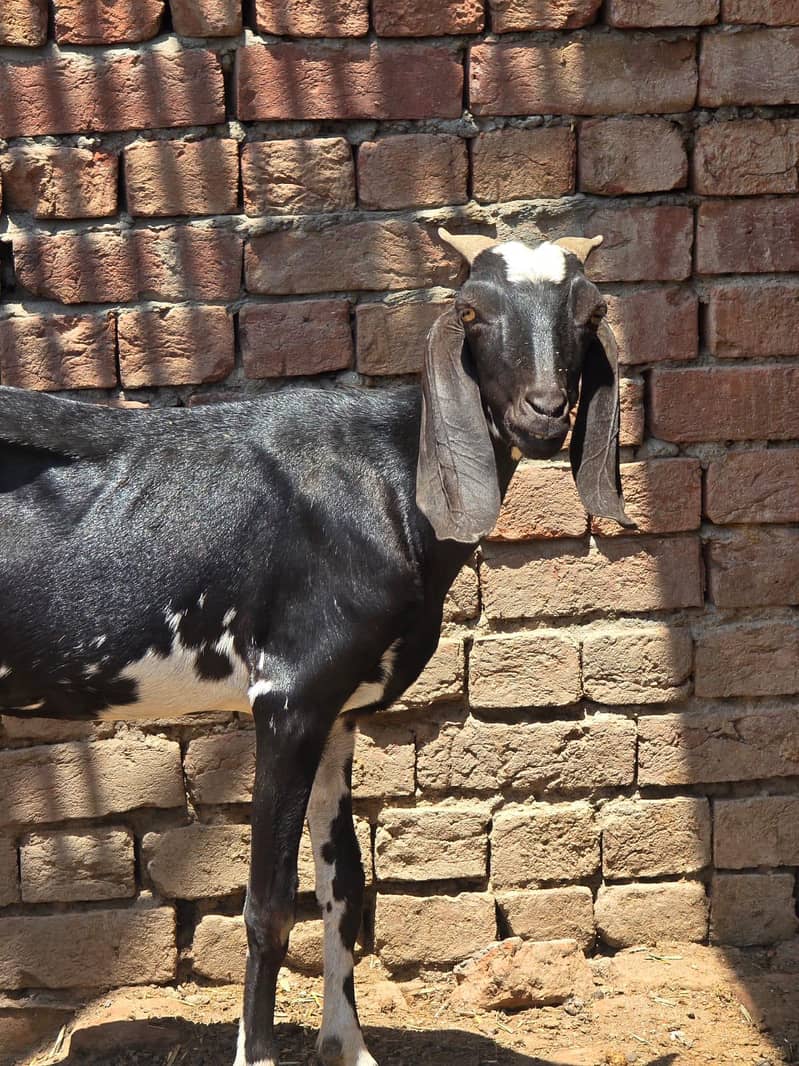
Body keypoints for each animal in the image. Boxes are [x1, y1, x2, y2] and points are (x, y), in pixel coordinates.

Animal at [0, 228, 629, 1066]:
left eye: (590, 313)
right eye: (471, 310)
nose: (544, 412)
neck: (385, 477)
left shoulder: (338, 709)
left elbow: (344, 885)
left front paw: (347, 1044)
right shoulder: (290, 695)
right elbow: (267, 906)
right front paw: (258, 1054)